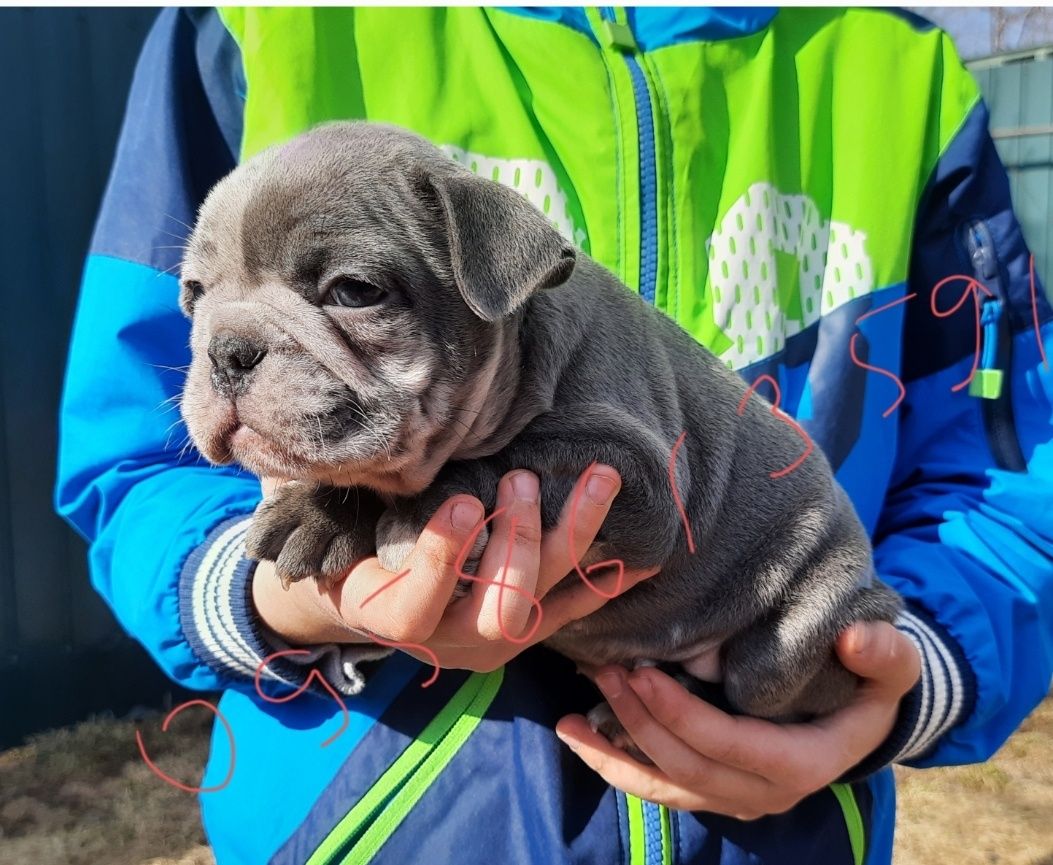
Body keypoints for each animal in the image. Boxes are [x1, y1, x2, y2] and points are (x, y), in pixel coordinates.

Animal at [176, 118, 901, 733]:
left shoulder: (639, 482)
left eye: (353, 291)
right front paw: (318, 511)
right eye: (194, 294)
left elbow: (513, 458)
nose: (227, 348)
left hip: (792, 639)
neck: (522, 359)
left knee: (766, 694)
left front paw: (420, 510)